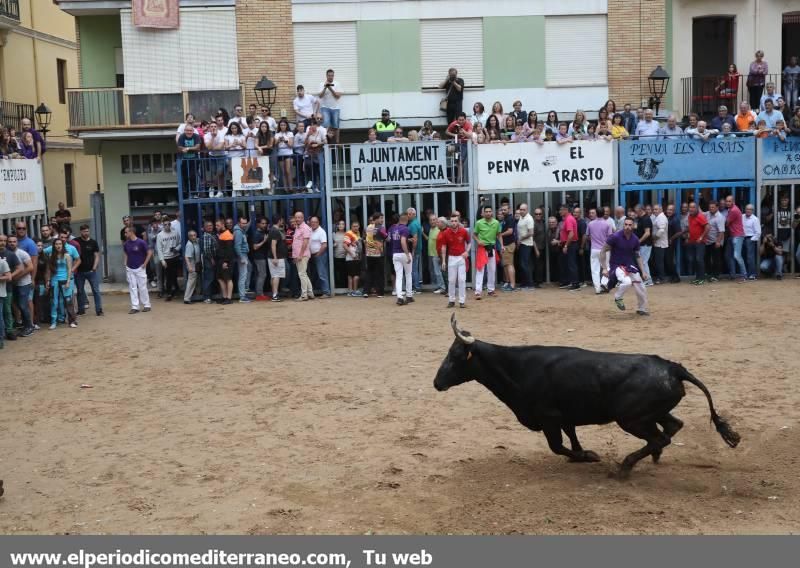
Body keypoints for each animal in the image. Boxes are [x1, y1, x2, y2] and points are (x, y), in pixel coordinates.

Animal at [434, 312, 740, 478]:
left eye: (455, 356)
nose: (436, 383)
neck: (517, 367)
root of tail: (673, 368)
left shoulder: (548, 418)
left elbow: (557, 446)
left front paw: (588, 456)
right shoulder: (564, 416)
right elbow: (571, 437)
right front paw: (580, 454)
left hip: (632, 419)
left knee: (659, 437)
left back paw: (624, 468)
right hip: (651, 413)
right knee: (673, 426)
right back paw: (652, 457)